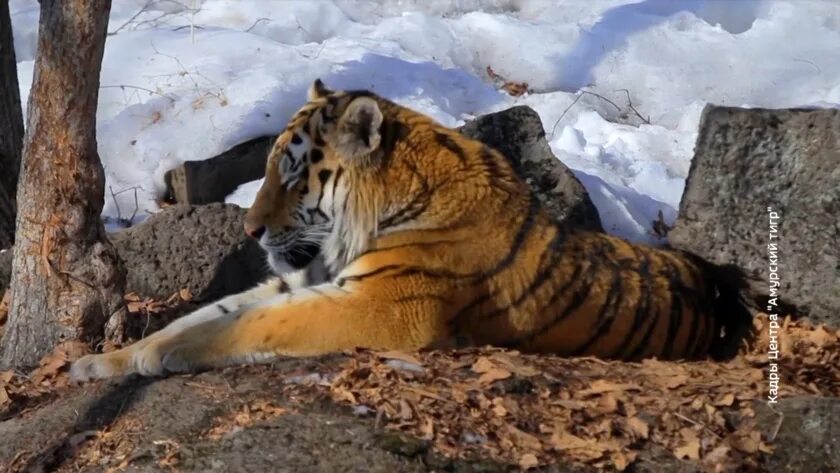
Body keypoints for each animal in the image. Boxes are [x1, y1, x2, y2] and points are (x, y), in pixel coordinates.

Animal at [69, 77, 744, 380]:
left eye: (291, 175)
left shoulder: (383, 306)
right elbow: (208, 313)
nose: (252, 230)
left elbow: (251, 324)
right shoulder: (304, 279)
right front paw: (107, 362)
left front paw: (161, 355)